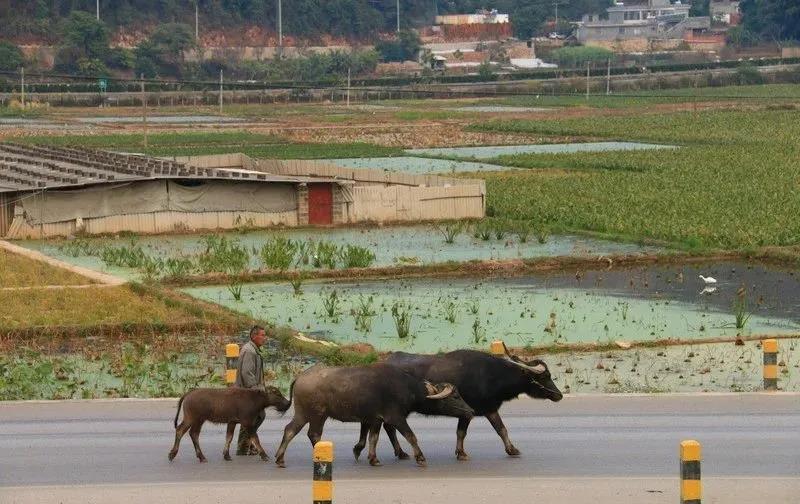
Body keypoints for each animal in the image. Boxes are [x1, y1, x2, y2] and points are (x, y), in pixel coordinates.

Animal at [276, 362, 476, 468]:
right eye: (455, 396)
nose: (472, 411)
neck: (406, 388)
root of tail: (300, 377)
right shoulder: (396, 418)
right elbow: (410, 436)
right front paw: (420, 457)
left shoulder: (375, 419)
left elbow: (373, 438)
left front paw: (372, 458)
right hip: (317, 415)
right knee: (314, 434)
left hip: (304, 414)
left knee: (290, 430)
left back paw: (280, 458)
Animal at [354, 350, 560, 460]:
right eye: (545, 376)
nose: (558, 395)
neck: (493, 375)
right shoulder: (481, 409)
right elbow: (499, 429)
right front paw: (511, 450)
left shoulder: (478, 410)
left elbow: (483, 430)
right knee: (388, 426)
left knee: (389, 427)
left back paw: (401, 452)